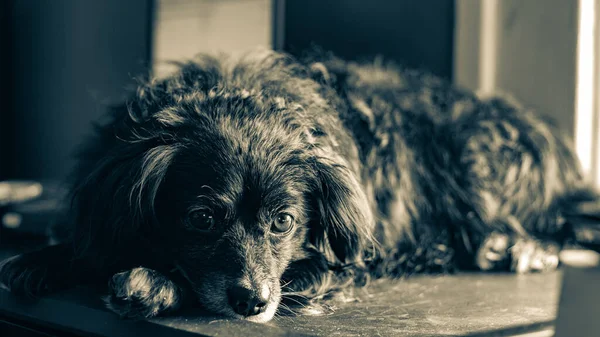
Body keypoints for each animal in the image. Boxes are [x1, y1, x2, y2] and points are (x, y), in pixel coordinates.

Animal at [0, 49, 596, 320]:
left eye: (284, 222)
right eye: (201, 219)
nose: (253, 304)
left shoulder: (339, 265)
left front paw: (153, 283)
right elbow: (90, 242)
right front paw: (46, 257)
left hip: (477, 155)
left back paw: (517, 246)